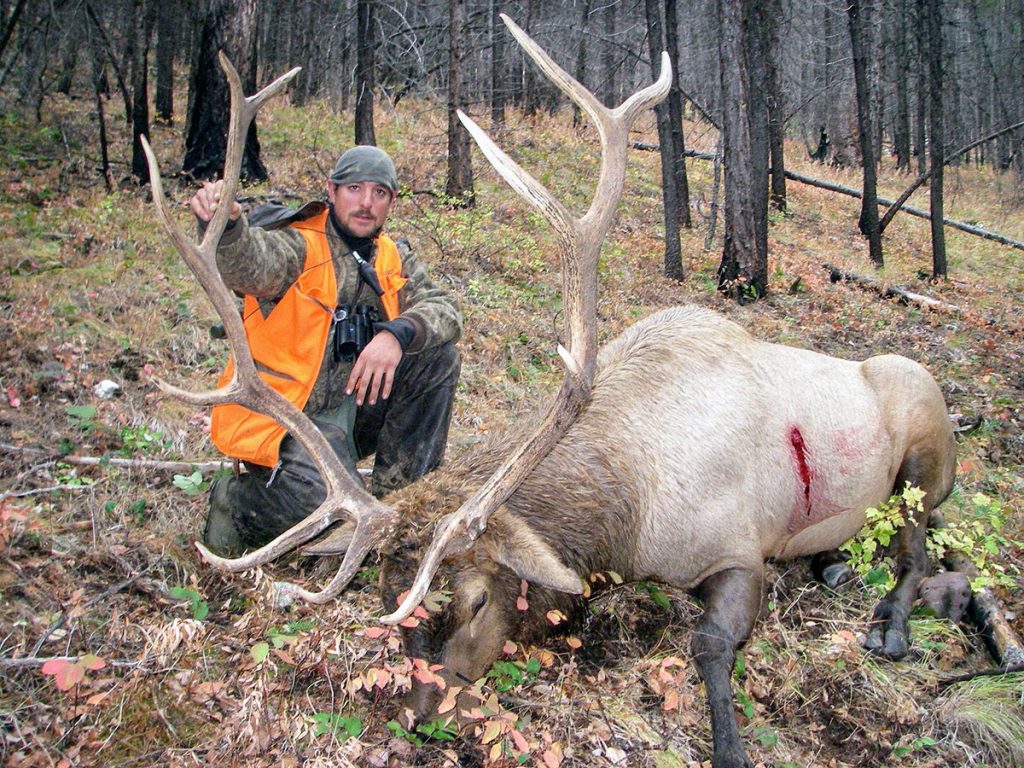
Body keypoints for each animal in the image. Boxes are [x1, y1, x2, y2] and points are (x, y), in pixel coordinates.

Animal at [140, 16, 954, 768]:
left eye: (474, 600)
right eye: (385, 602)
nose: (416, 721)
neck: (625, 515)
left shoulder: (739, 547)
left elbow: (708, 647)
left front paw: (729, 746)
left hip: (925, 436)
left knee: (918, 547)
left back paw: (891, 624)